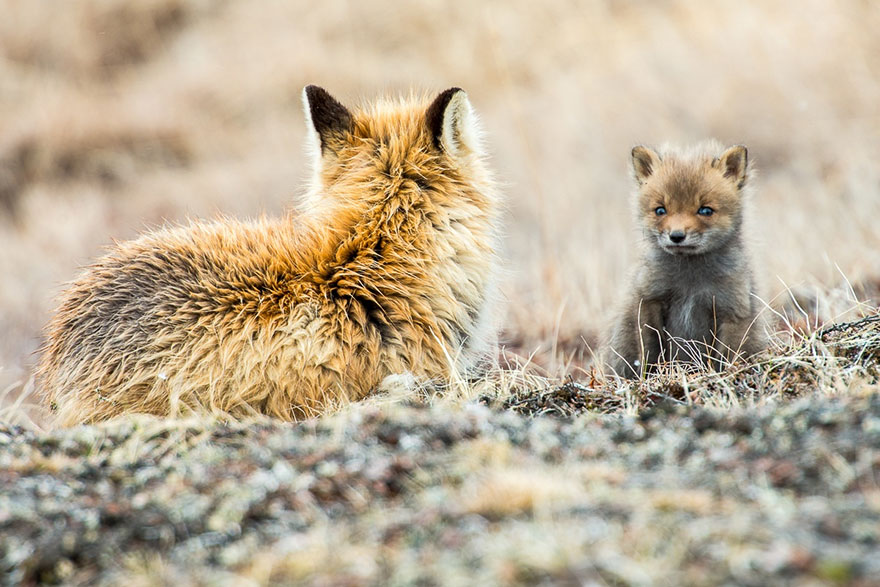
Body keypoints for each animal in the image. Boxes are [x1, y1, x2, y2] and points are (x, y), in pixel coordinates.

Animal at [604, 141, 767, 379]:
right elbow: (649, 351)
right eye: (660, 210)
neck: (690, 284)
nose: (677, 236)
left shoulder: (733, 309)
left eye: (705, 210)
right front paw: (650, 379)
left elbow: (728, 356)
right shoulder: (649, 300)